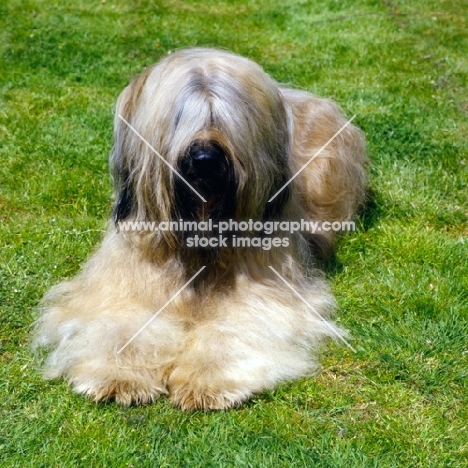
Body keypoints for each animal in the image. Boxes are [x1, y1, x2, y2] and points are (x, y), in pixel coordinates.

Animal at [34, 47, 368, 410]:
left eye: (225, 118)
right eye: (179, 117)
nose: (205, 158)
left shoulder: (267, 288)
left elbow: (234, 326)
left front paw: (205, 380)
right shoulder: (125, 280)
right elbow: (121, 323)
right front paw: (119, 375)